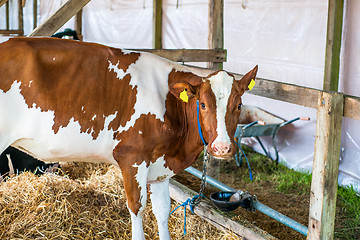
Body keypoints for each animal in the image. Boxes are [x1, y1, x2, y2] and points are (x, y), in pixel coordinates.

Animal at [0, 38, 258, 240]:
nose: (222, 148)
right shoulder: (132, 158)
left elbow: (162, 210)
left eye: (239, 105)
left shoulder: (161, 166)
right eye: (202, 104)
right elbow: (138, 208)